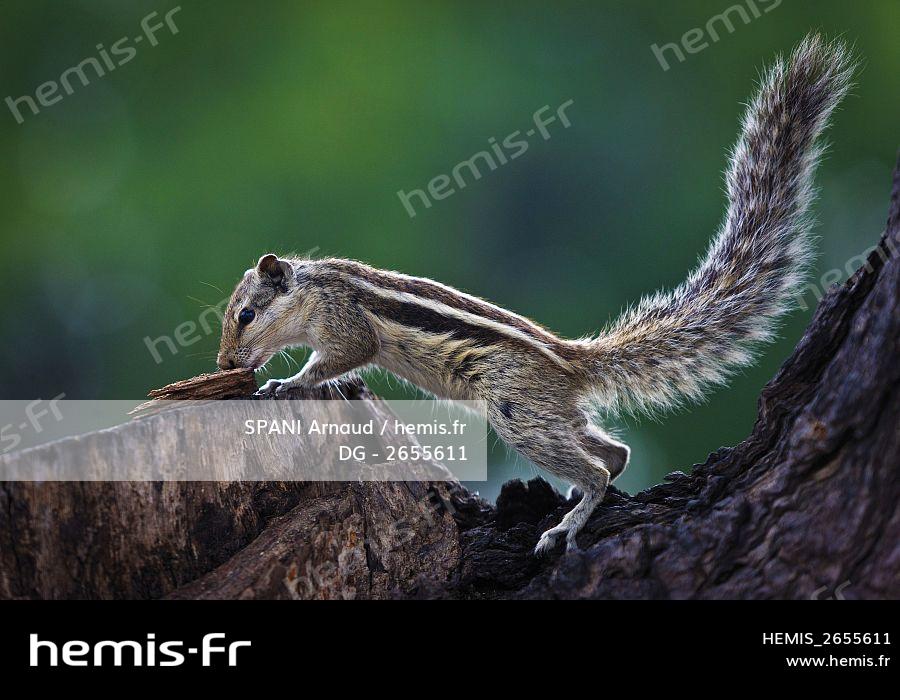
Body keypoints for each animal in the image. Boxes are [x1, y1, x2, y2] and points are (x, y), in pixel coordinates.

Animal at [218, 35, 852, 556]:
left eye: (246, 315)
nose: (225, 364)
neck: (311, 290)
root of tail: (571, 361)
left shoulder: (346, 323)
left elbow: (341, 358)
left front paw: (285, 383)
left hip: (518, 412)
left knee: (599, 468)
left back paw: (566, 525)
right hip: (549, 413)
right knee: (614, 455)